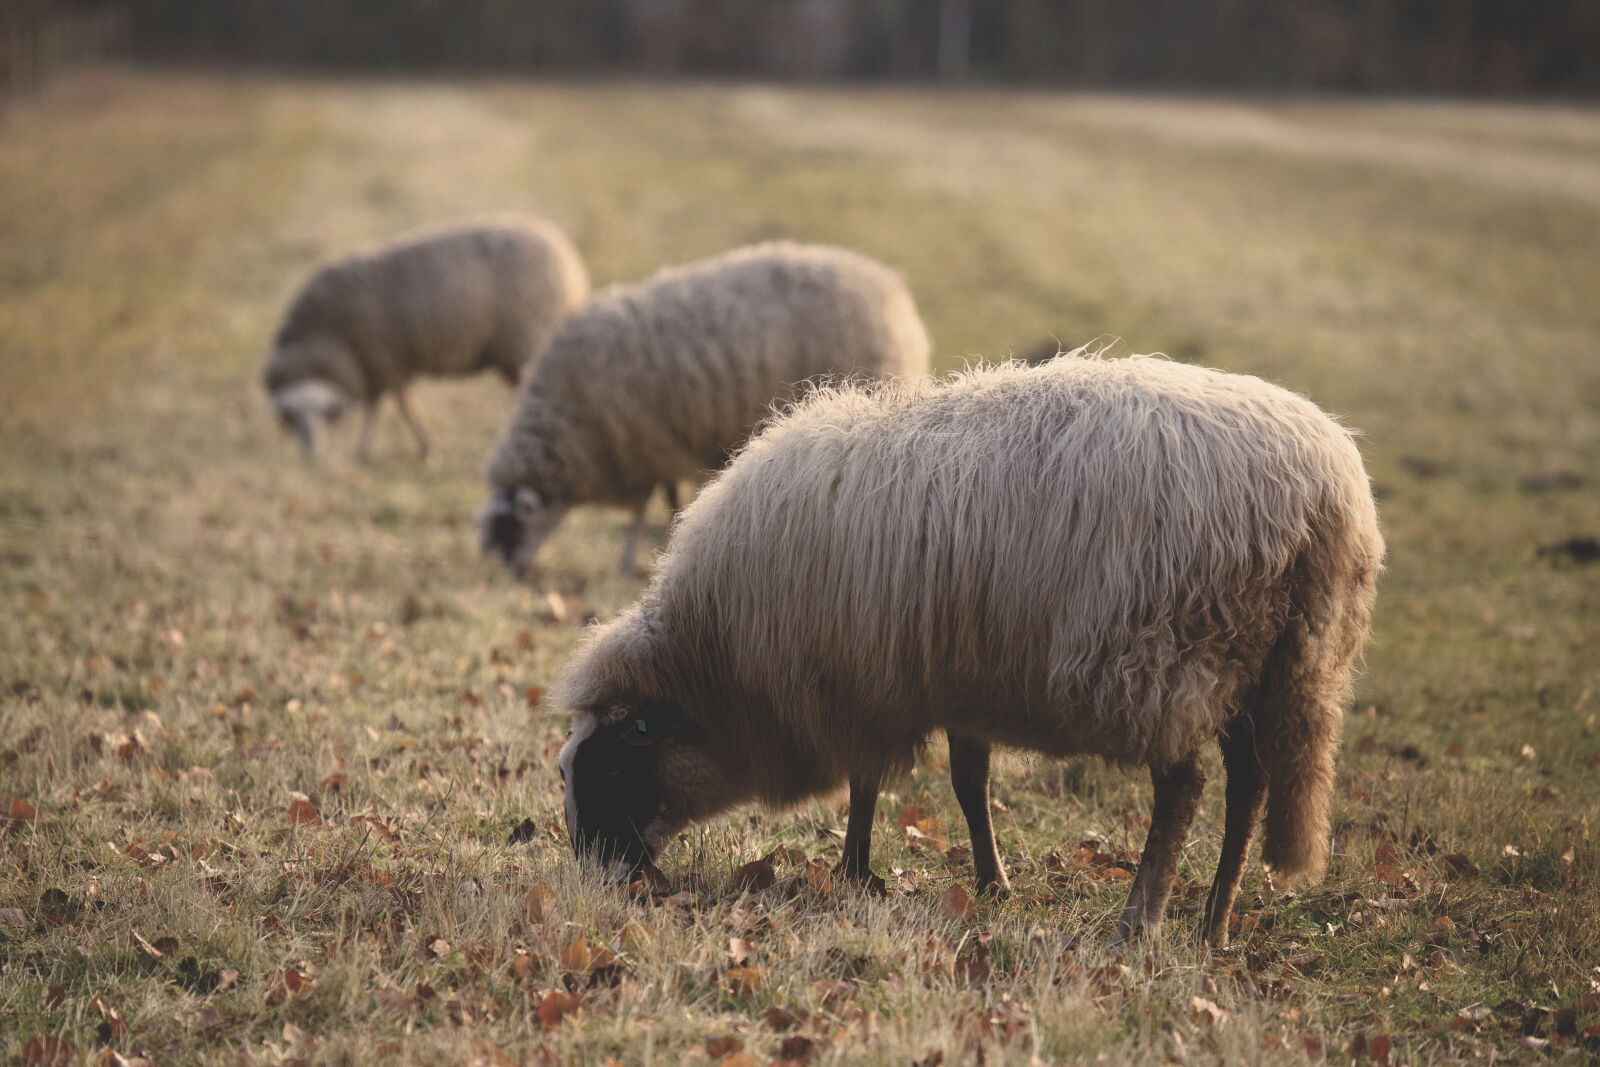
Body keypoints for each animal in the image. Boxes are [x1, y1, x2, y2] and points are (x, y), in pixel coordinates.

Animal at [265, 217, 592, 463]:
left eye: (320, 414)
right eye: (291, 418)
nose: (311, 456)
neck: (323, 335)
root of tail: (570, 261)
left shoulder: (384, 361)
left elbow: (397, 407)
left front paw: (420, 449)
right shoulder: (379, 366)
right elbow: (384, 405)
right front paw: (372, 451)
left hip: (529, 338)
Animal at [473, 241, 934, 579]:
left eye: (511, 527)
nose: (510, 574)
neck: (568, 422)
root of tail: (892, 288)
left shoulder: (644, 444)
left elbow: (642, 510)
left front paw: (630, 562)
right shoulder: (655, 446)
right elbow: (665, 497)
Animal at [556, 355, 1382, 947]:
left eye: (612, 760)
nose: (596, 876)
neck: (722, 665)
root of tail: (1324, 499)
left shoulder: (861, 683)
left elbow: (865, 783)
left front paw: (852, 870)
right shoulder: (950, 678)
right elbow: (966, 782)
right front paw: (991, 882)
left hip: (1163, 658)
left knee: (1184, 787)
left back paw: (1138, 920)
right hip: (1265, 665)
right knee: (1249, 784)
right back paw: (1213, 922)